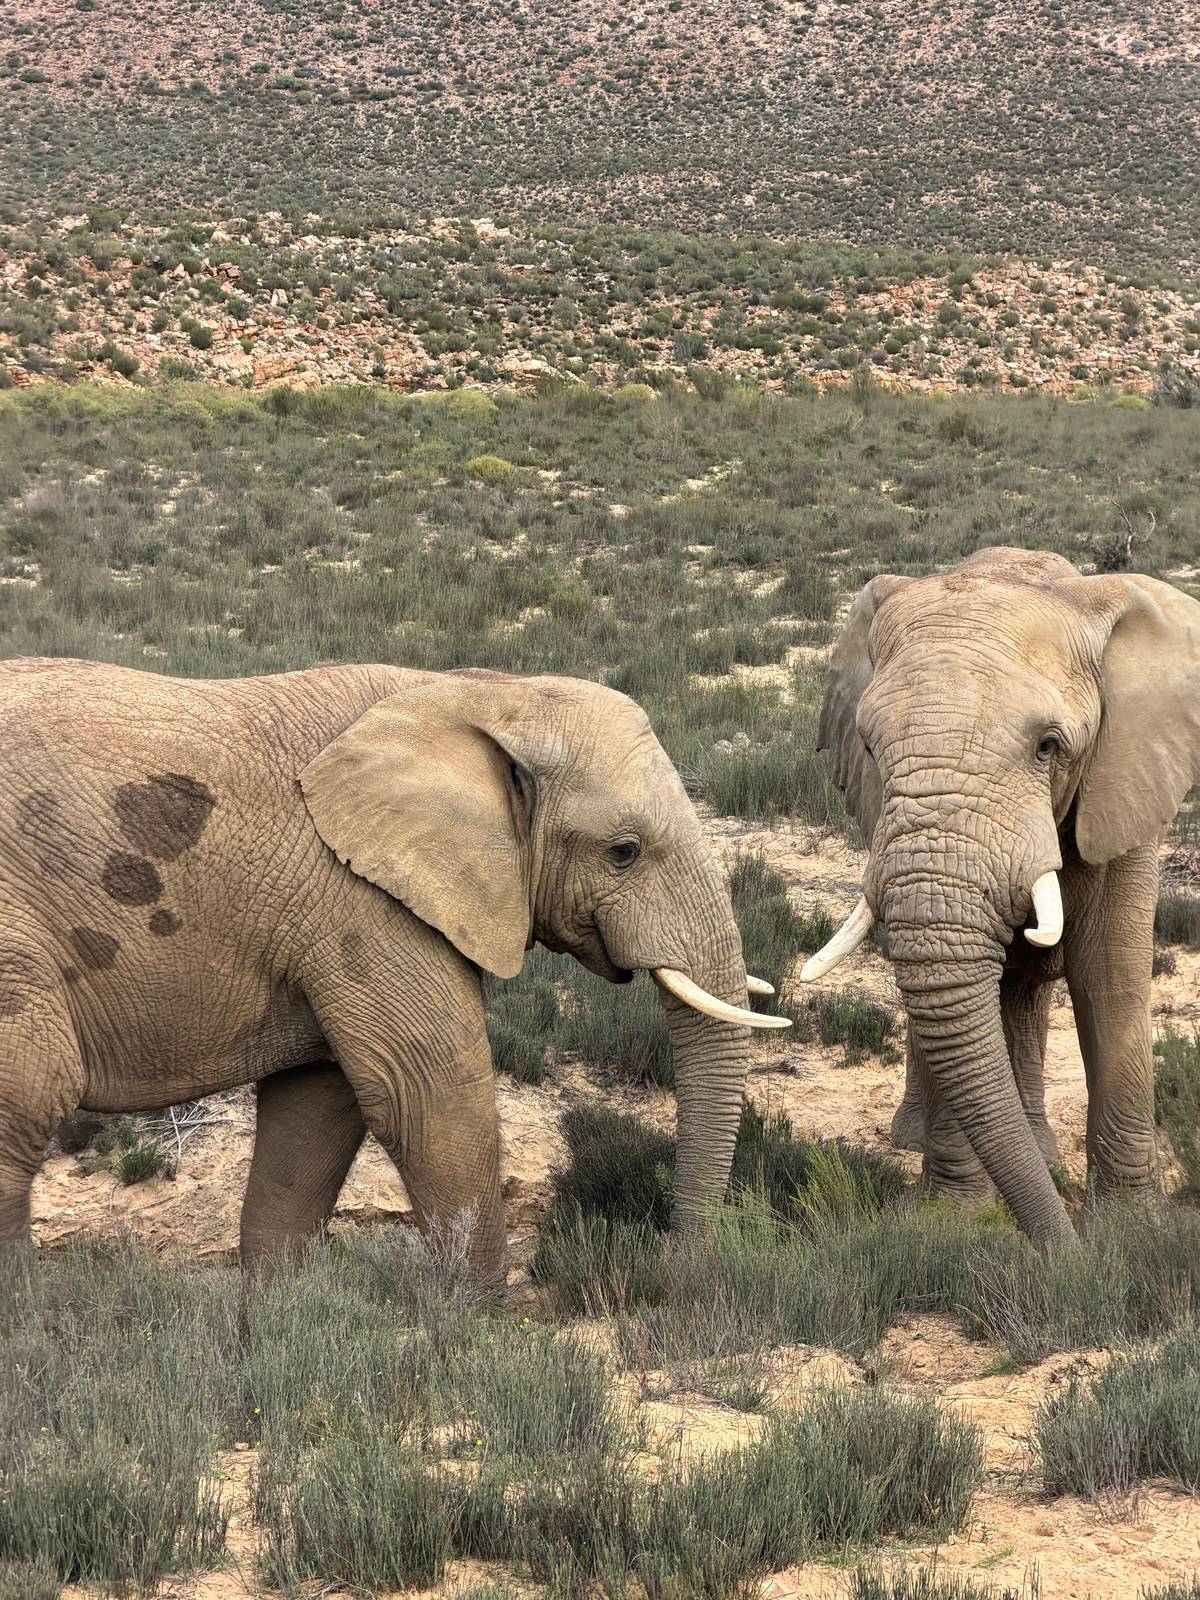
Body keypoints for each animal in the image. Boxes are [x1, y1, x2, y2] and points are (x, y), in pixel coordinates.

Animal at [0, 659, 788, 1278]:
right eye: (623, 851)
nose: (672, 1264)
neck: (477, 693)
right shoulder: (363, 901)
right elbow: (428, 1099)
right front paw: (479, 1335)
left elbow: (316, 1111)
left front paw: (274, 1329)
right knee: (34, 1090)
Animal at [805, 546, 1200, 1244]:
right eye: (871, 746)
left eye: (1049, 746)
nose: (1064, 1253)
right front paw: (953, 1224)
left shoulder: (1123, 778)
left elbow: (1108, 977)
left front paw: (1131, 1233)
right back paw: (917, 1141)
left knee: (1023, 984)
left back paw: (1039, 1151)